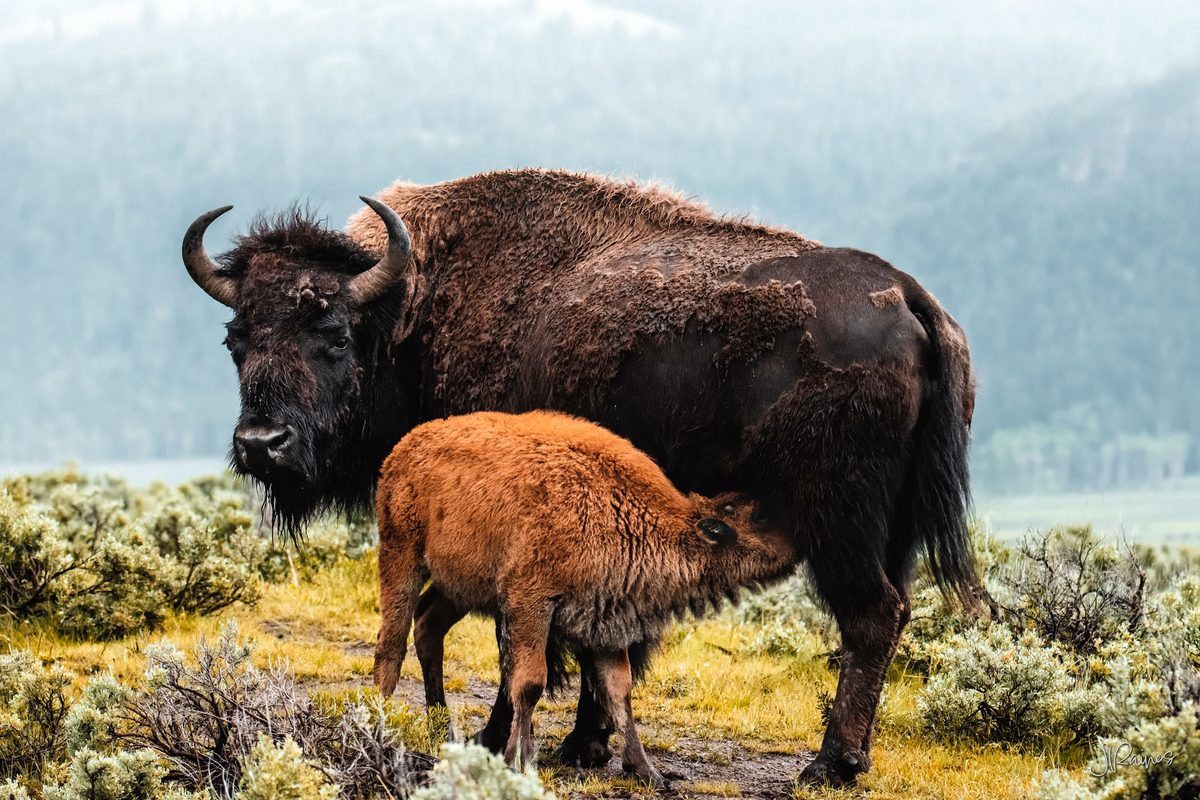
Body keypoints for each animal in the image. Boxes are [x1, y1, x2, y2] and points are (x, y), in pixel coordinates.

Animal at [181, 168, 978, 786]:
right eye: (235, 339)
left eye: (336, 334)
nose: (262, 443)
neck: (416, 309)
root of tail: (910, 299)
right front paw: (585, 744)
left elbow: (523, 649)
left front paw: (509, 740)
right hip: (895, 529)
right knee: (896, 610)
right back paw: (854, 757)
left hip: (839, 523)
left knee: (870, 615)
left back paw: (829, 764)